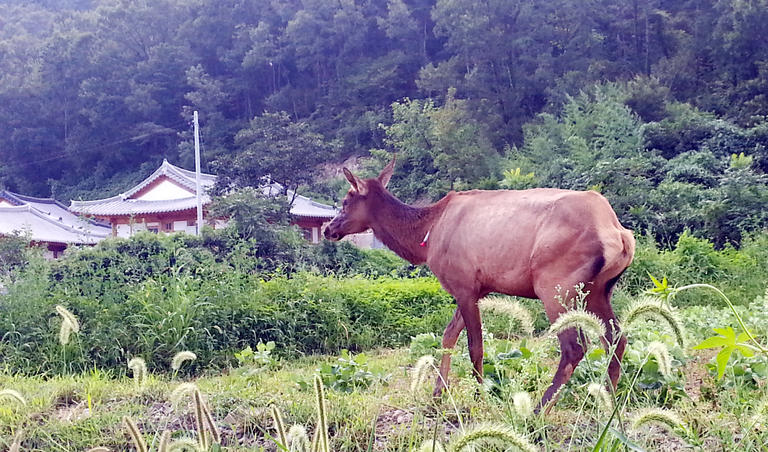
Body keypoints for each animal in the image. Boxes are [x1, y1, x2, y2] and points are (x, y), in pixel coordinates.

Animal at [320, 159, 632, 410]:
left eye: (346, 200)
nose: (328, 228)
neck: (425, 236)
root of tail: (618, 233)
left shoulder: (464, 285)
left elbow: (474, 347)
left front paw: (479, 396)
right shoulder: (475, 289)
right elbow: (447, 337)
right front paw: (437, 395)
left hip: (555, 287)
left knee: (574, 348)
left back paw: (538, 410)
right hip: (598, 290)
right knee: (616, 336)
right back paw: (608, 400)